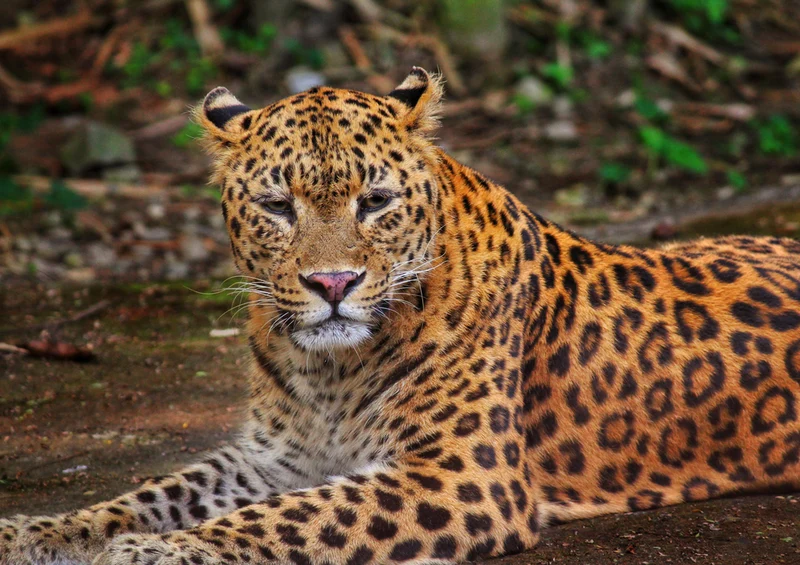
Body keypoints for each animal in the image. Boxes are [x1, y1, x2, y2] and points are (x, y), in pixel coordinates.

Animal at [3, 67, 800, 565]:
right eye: (277, 206)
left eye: (376, 201)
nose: (332, 282)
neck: (326, 369)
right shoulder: (275, 456)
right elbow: (153, 492)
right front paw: (38, 531)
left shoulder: (460, 474)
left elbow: (298, 515)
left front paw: (157, 551)